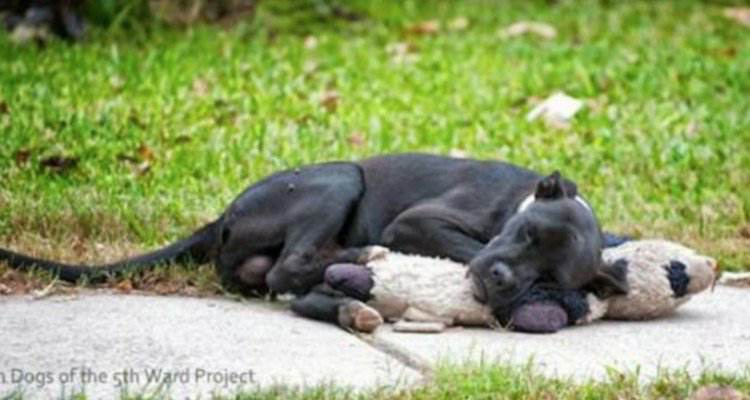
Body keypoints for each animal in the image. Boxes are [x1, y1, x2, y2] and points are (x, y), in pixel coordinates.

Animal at [0, 153, 628, 318]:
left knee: (284, 275)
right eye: (524, 234)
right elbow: (466, 247)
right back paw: (363, 257)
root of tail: (222, 218)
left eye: (550, 270)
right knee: (290, 265)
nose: (500, 280)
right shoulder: (419, 223)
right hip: (340, 177)